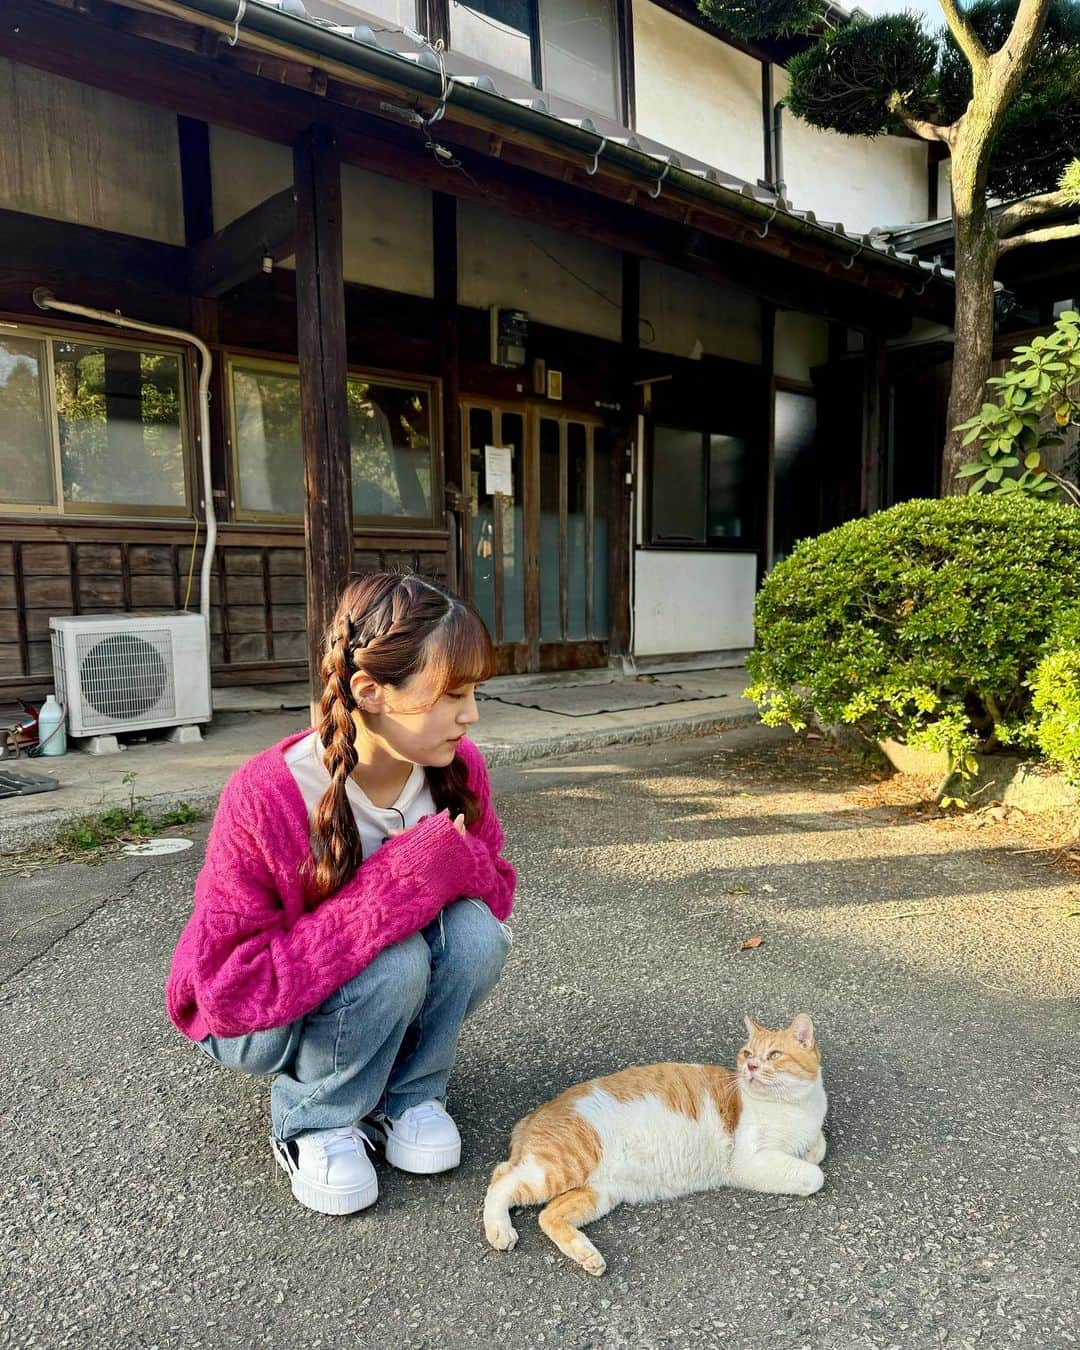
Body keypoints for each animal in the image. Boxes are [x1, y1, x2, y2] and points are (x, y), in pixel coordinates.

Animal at [483, 1015, 826, 1274]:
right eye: (746, 1053)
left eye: (774, 1055)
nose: (751, 1067)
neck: (794, 1107)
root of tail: (536, 1113)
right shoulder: (747, 1162)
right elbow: (815, 1175)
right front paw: (807, 1165)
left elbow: (818, 1146)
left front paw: (809, 1149)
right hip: (564, 1163)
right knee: (502, 1179)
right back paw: (500, 1229)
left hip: (601, 1192)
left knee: (547, 1215)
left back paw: (587, 1255)